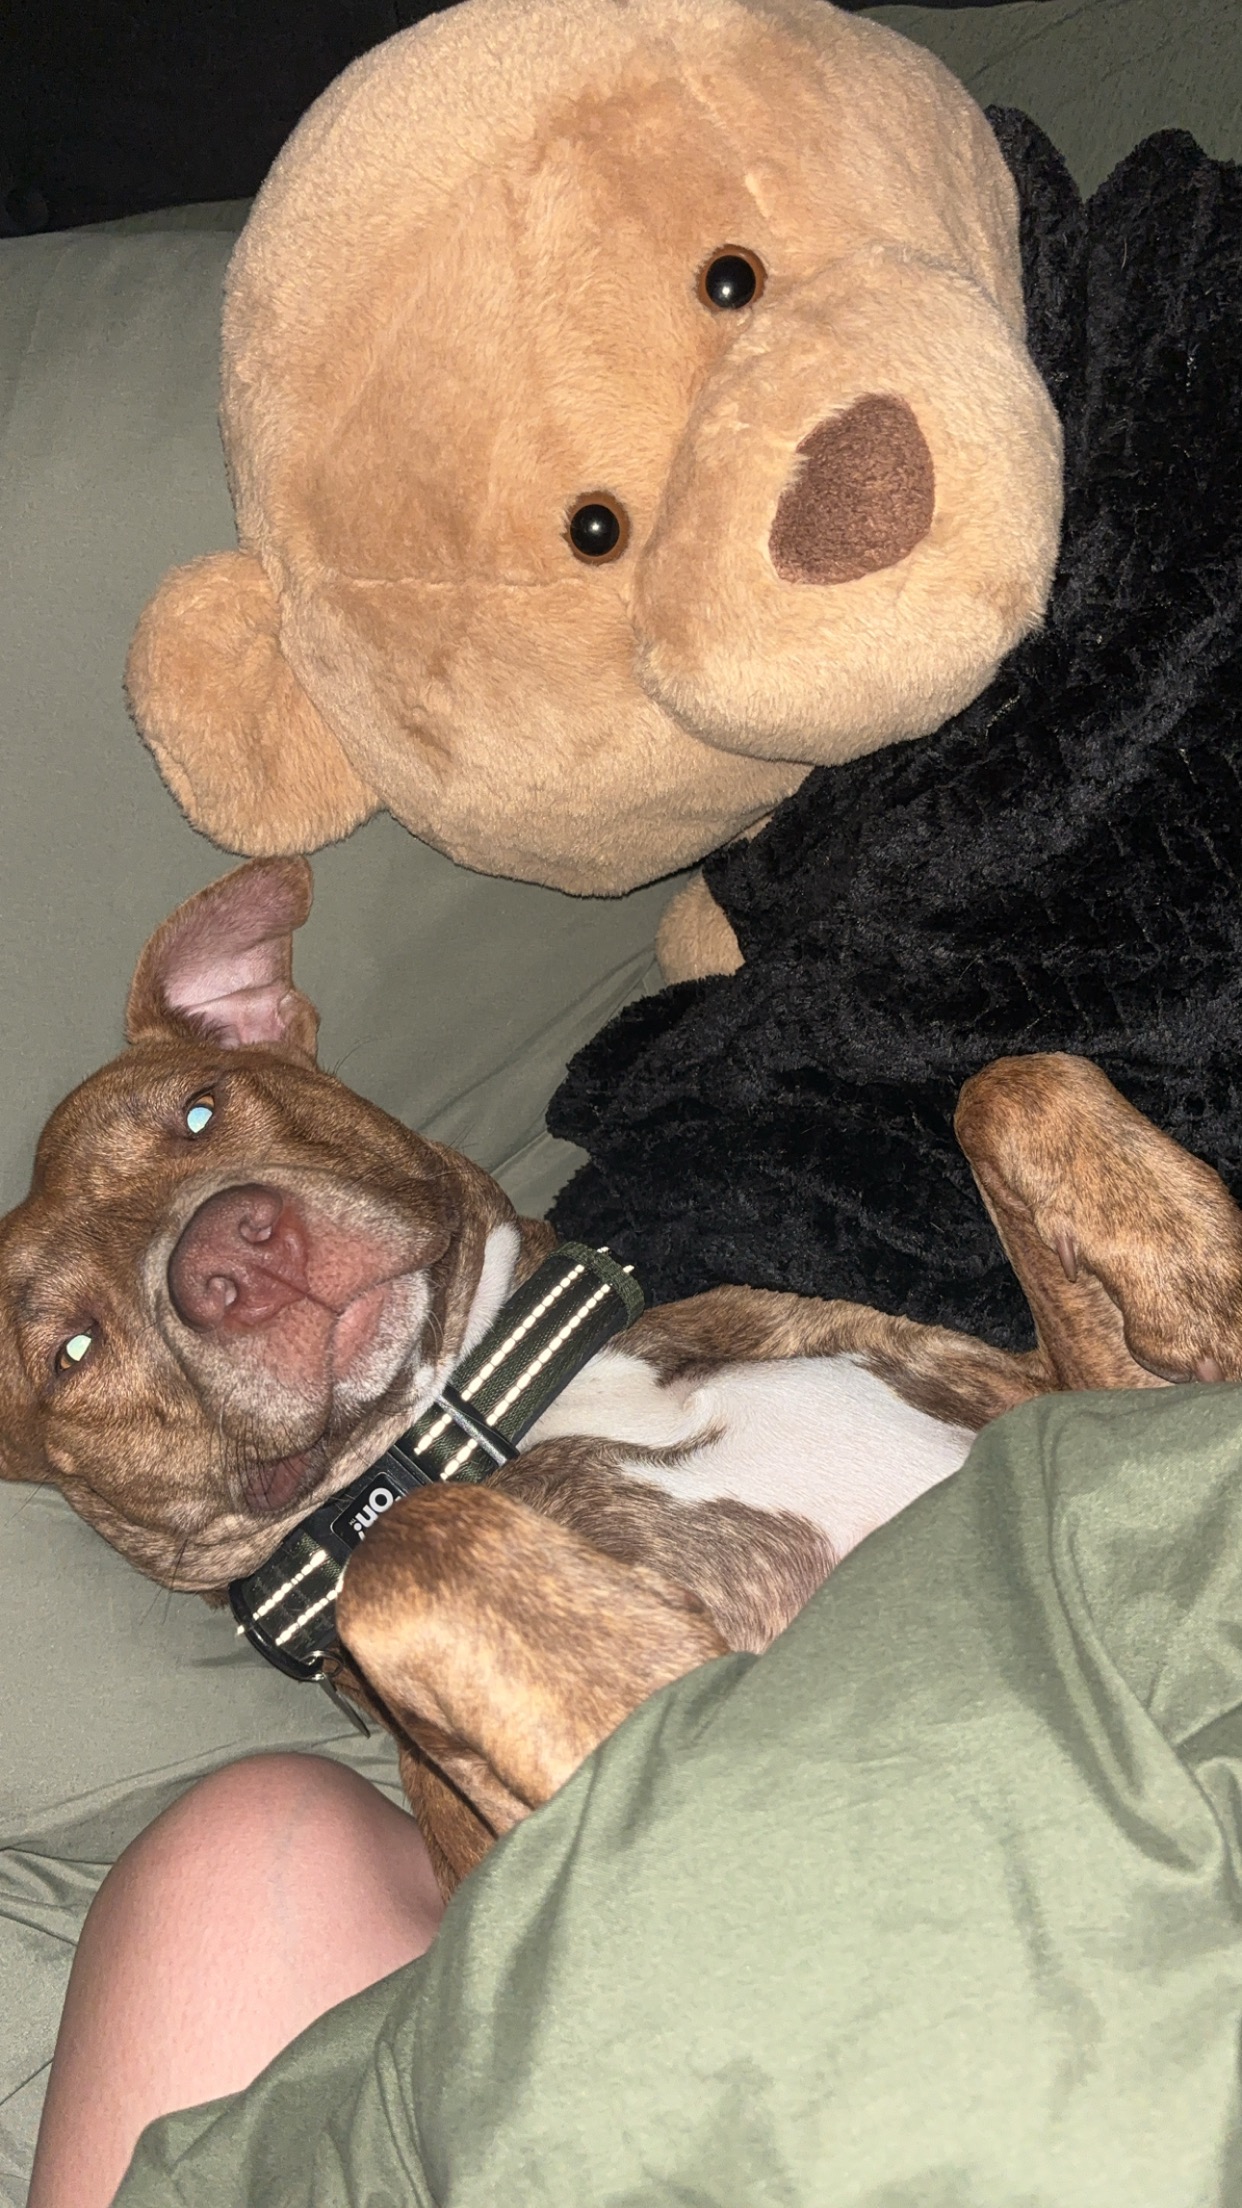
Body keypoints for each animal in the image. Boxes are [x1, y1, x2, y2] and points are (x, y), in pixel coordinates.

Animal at [3, 857, 1241, 1890]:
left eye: (200, 1109)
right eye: (72, 1352)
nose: (226, 1258)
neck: (485, 1402)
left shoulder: (1065, 1408)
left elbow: (1012, 1080)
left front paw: (1205, 1276)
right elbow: (410, 1543)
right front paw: (668, 1690)